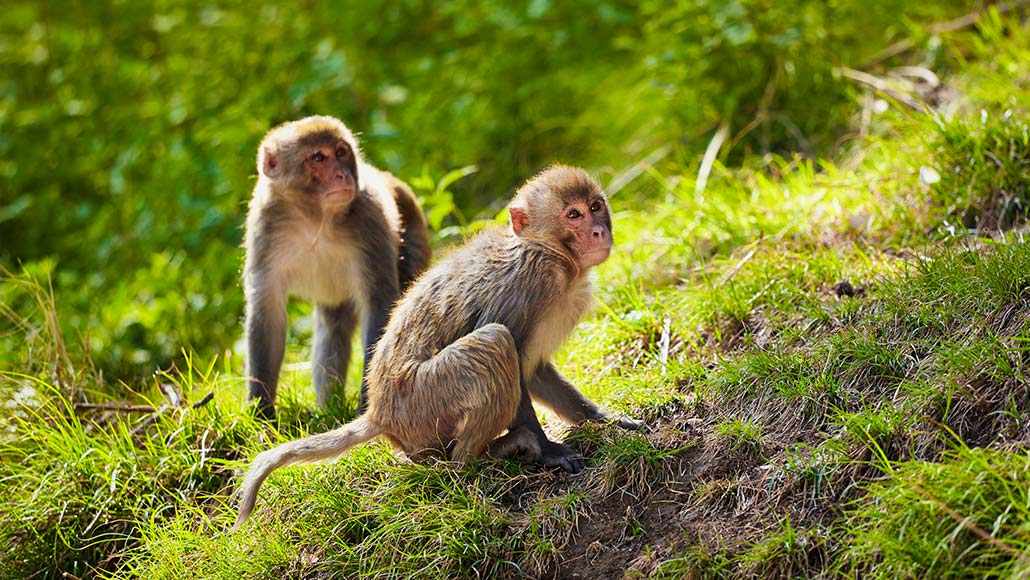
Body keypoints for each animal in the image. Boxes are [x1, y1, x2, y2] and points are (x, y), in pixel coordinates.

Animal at [234, 165, 642, 528]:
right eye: (573, 214)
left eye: (595, 206)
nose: (598, 230)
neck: (555, 256)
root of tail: (379, 413)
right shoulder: (531, 283)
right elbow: (510, 349)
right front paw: (548, 451)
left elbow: (534, 372)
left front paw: (602, 419)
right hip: (422, 401)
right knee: (494, 344)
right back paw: (484, 457)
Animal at [243, 115, 430, 419]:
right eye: (318, 157)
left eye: (341, 153)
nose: (343, 175)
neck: (315, 217)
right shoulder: (265, 225)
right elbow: (267, 310)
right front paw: (261, 410)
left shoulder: (370, 217)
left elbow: (379, 304)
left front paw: (368, 403)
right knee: (333, 327)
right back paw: (329, 406)